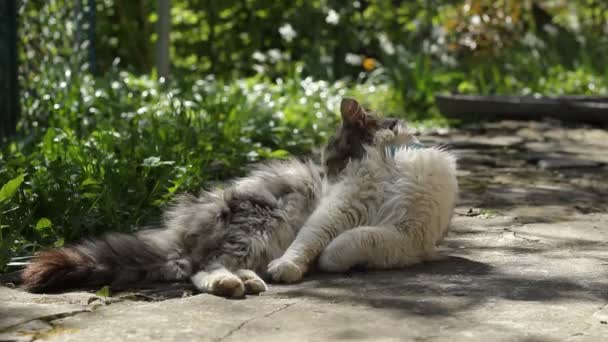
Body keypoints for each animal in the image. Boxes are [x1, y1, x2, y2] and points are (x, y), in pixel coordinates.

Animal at [21, 97, 402, 298]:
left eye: (332, 156)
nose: (326, 176)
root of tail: (181, 231)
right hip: (259, 226)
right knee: (204, 268)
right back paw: (231, 284)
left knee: (215, 265)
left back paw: (248, 282)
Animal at [268, 99, 458, 284]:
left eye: (329, 163)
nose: (326, 189)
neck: (390, 163)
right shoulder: (334, 213)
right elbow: (305, 242)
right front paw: (286, 265)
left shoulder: (407, 235)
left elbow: (352, 240)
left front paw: (325, 259)